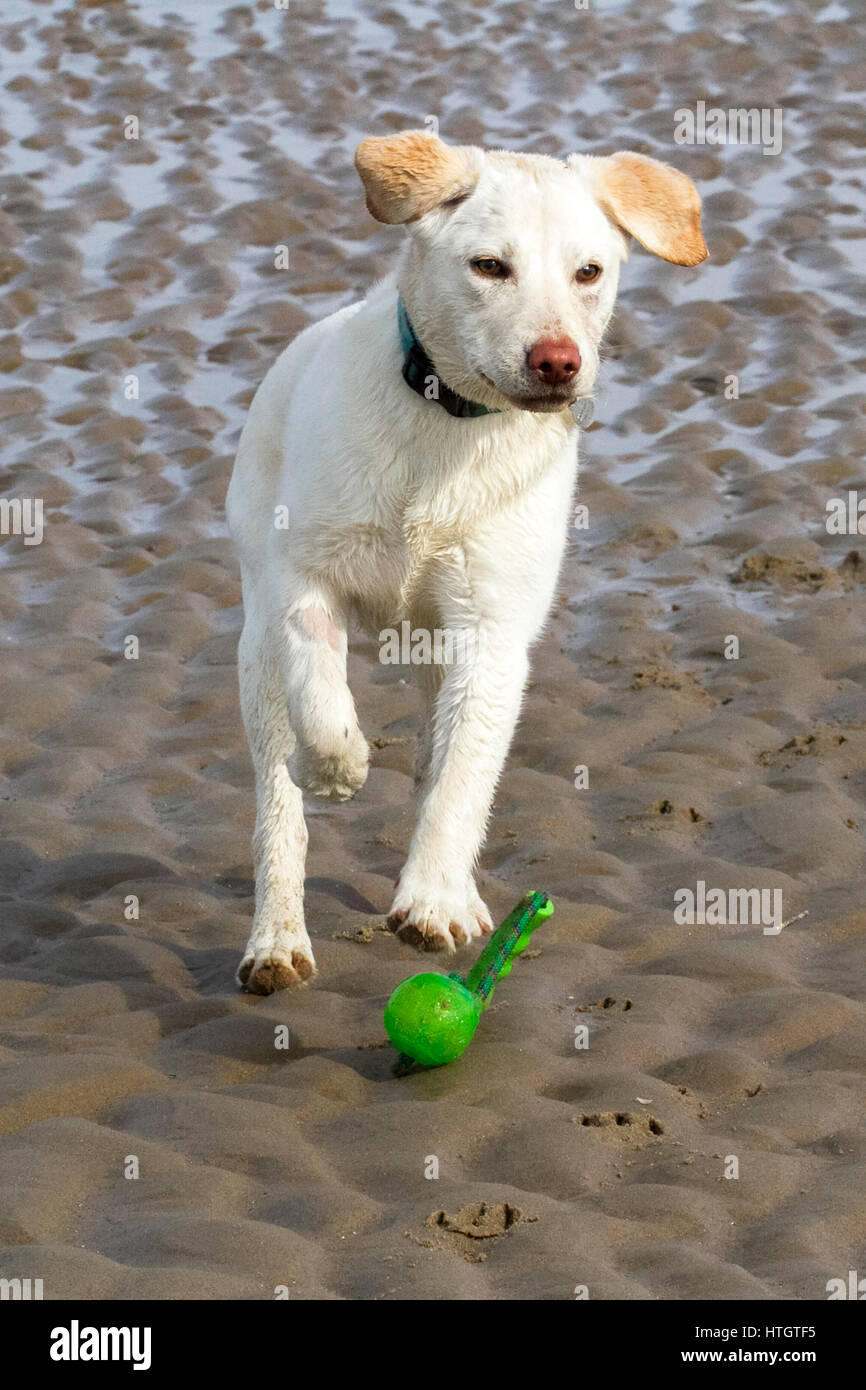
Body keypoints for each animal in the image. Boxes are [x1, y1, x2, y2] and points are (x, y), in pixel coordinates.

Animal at [226, 130, 708, 995]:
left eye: (589, 272)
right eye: (489, 266)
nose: (558, 362)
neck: (449, 425)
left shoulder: (492, 635)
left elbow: (462, 780)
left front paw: (434, 899)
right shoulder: (302, 582)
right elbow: (321, 700)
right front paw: (338, 767)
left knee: (438, 759)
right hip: (256, 643)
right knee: (277, 808)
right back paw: (277, 939)